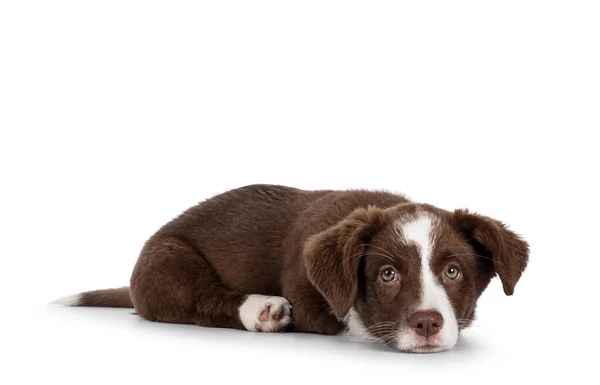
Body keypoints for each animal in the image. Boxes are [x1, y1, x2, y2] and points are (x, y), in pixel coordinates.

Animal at [52, 184, 528, 352]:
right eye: (387, 274)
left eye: (453, 272)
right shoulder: (307, 290)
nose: (427, 324)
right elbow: (344, 317)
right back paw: (264, 311)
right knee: (197, 299)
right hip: (169, 261)